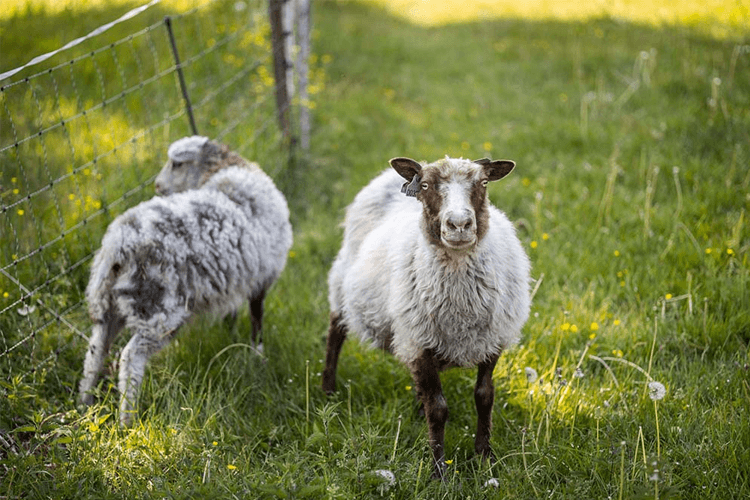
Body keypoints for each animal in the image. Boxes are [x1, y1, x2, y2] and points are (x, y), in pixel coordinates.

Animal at [79, 137, 294, 426]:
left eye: (177, 164)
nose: (158, 186)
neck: (228, 171)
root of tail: (117, 244)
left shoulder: (236, 282)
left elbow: (235, 314)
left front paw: (232, 336)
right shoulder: (261, 280)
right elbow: (257, 321)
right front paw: (258, 358)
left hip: (108, 305)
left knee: (95, 352)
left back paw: (85, 404)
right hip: (157, 310)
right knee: (130, 357)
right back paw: (128, 420)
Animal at [326, 154, 532, 478]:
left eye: (484, 183)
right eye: (424, 185)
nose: (459, 224)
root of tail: (387, 176)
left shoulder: (492, 340)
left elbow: (484, 396)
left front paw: (484, 458)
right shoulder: (419, 343)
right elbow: (438, 410)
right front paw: (438, 472)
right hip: (342, 284)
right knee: (335, 332)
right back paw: (327, 390)